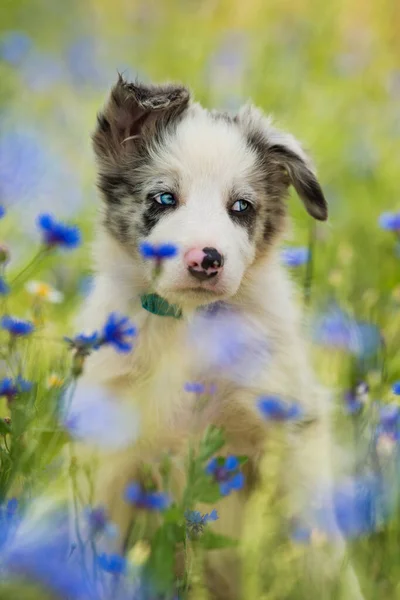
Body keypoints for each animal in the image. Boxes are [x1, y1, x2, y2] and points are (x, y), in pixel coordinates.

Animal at [74, 78, 362, 600]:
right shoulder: (115, 451)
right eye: (163, 199)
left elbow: (317, 549)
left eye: (241, 207)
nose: (206, 260)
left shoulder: (287, 433)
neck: (187, 326)